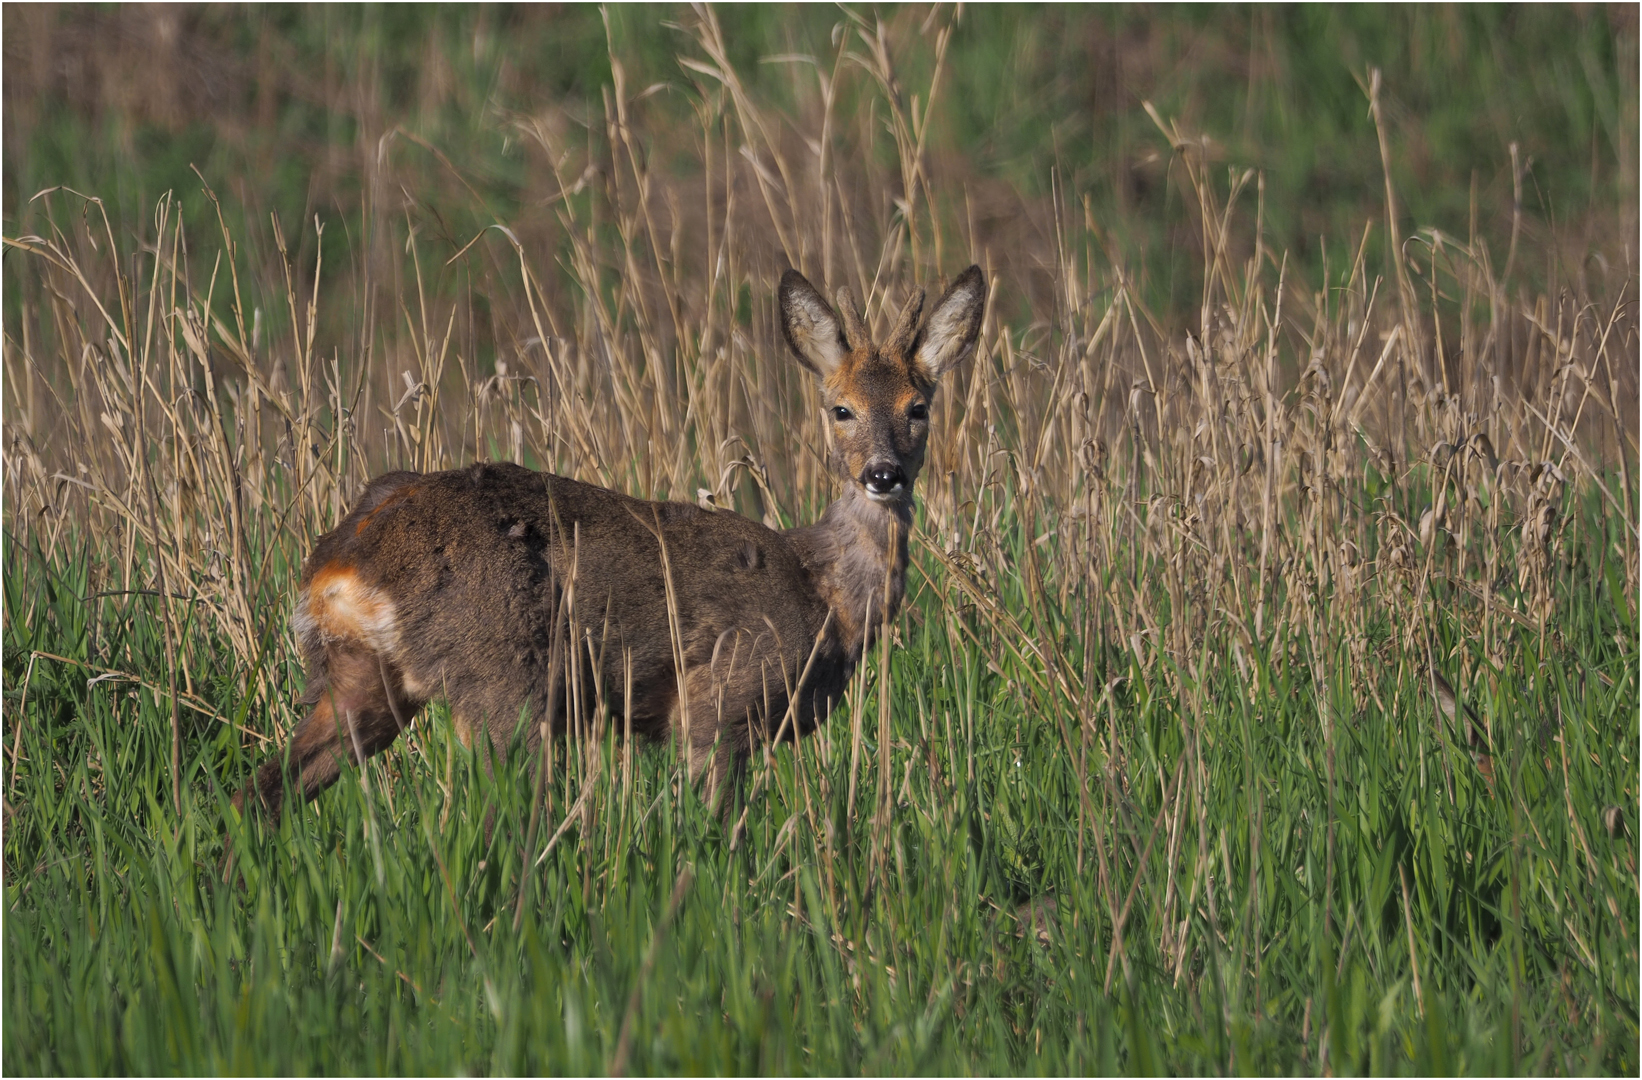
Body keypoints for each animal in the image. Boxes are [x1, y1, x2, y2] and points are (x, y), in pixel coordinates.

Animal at [236, 262, 978, 817]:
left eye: (919, 407)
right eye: (840, 408)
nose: (882, 474)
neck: (825, 595)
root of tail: (343, 561)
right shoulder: (719, 702)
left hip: (362, 677)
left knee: (262, 792)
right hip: (500, 680)